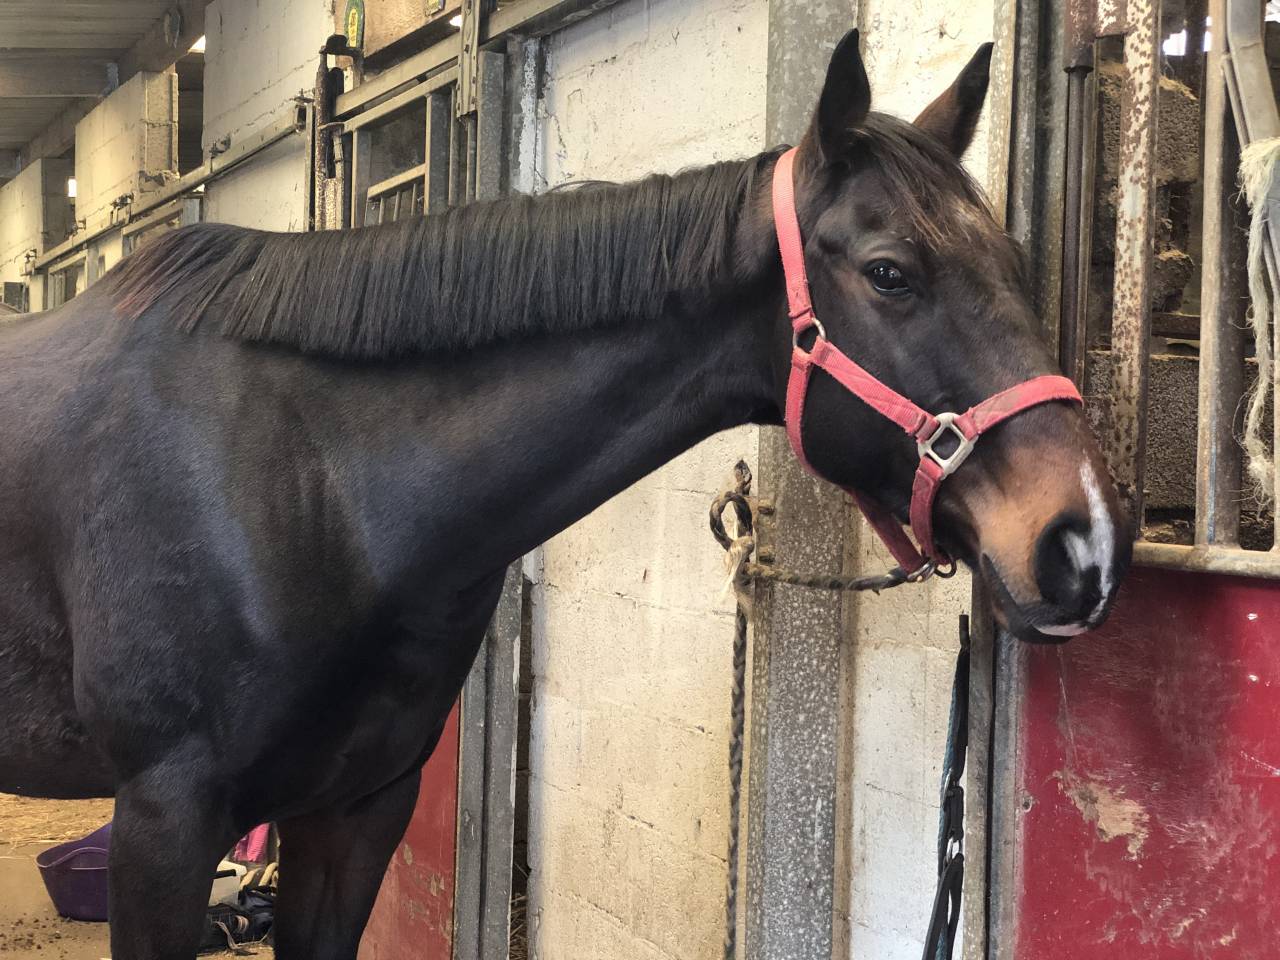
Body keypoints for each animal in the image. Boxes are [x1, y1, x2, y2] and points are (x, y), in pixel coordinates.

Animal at [0, 30, 1129, 960]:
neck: (312, 477)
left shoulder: (358, 808)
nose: (1082, 543)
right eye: (892, 272)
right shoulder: (165, 820)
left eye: (1013, 259)